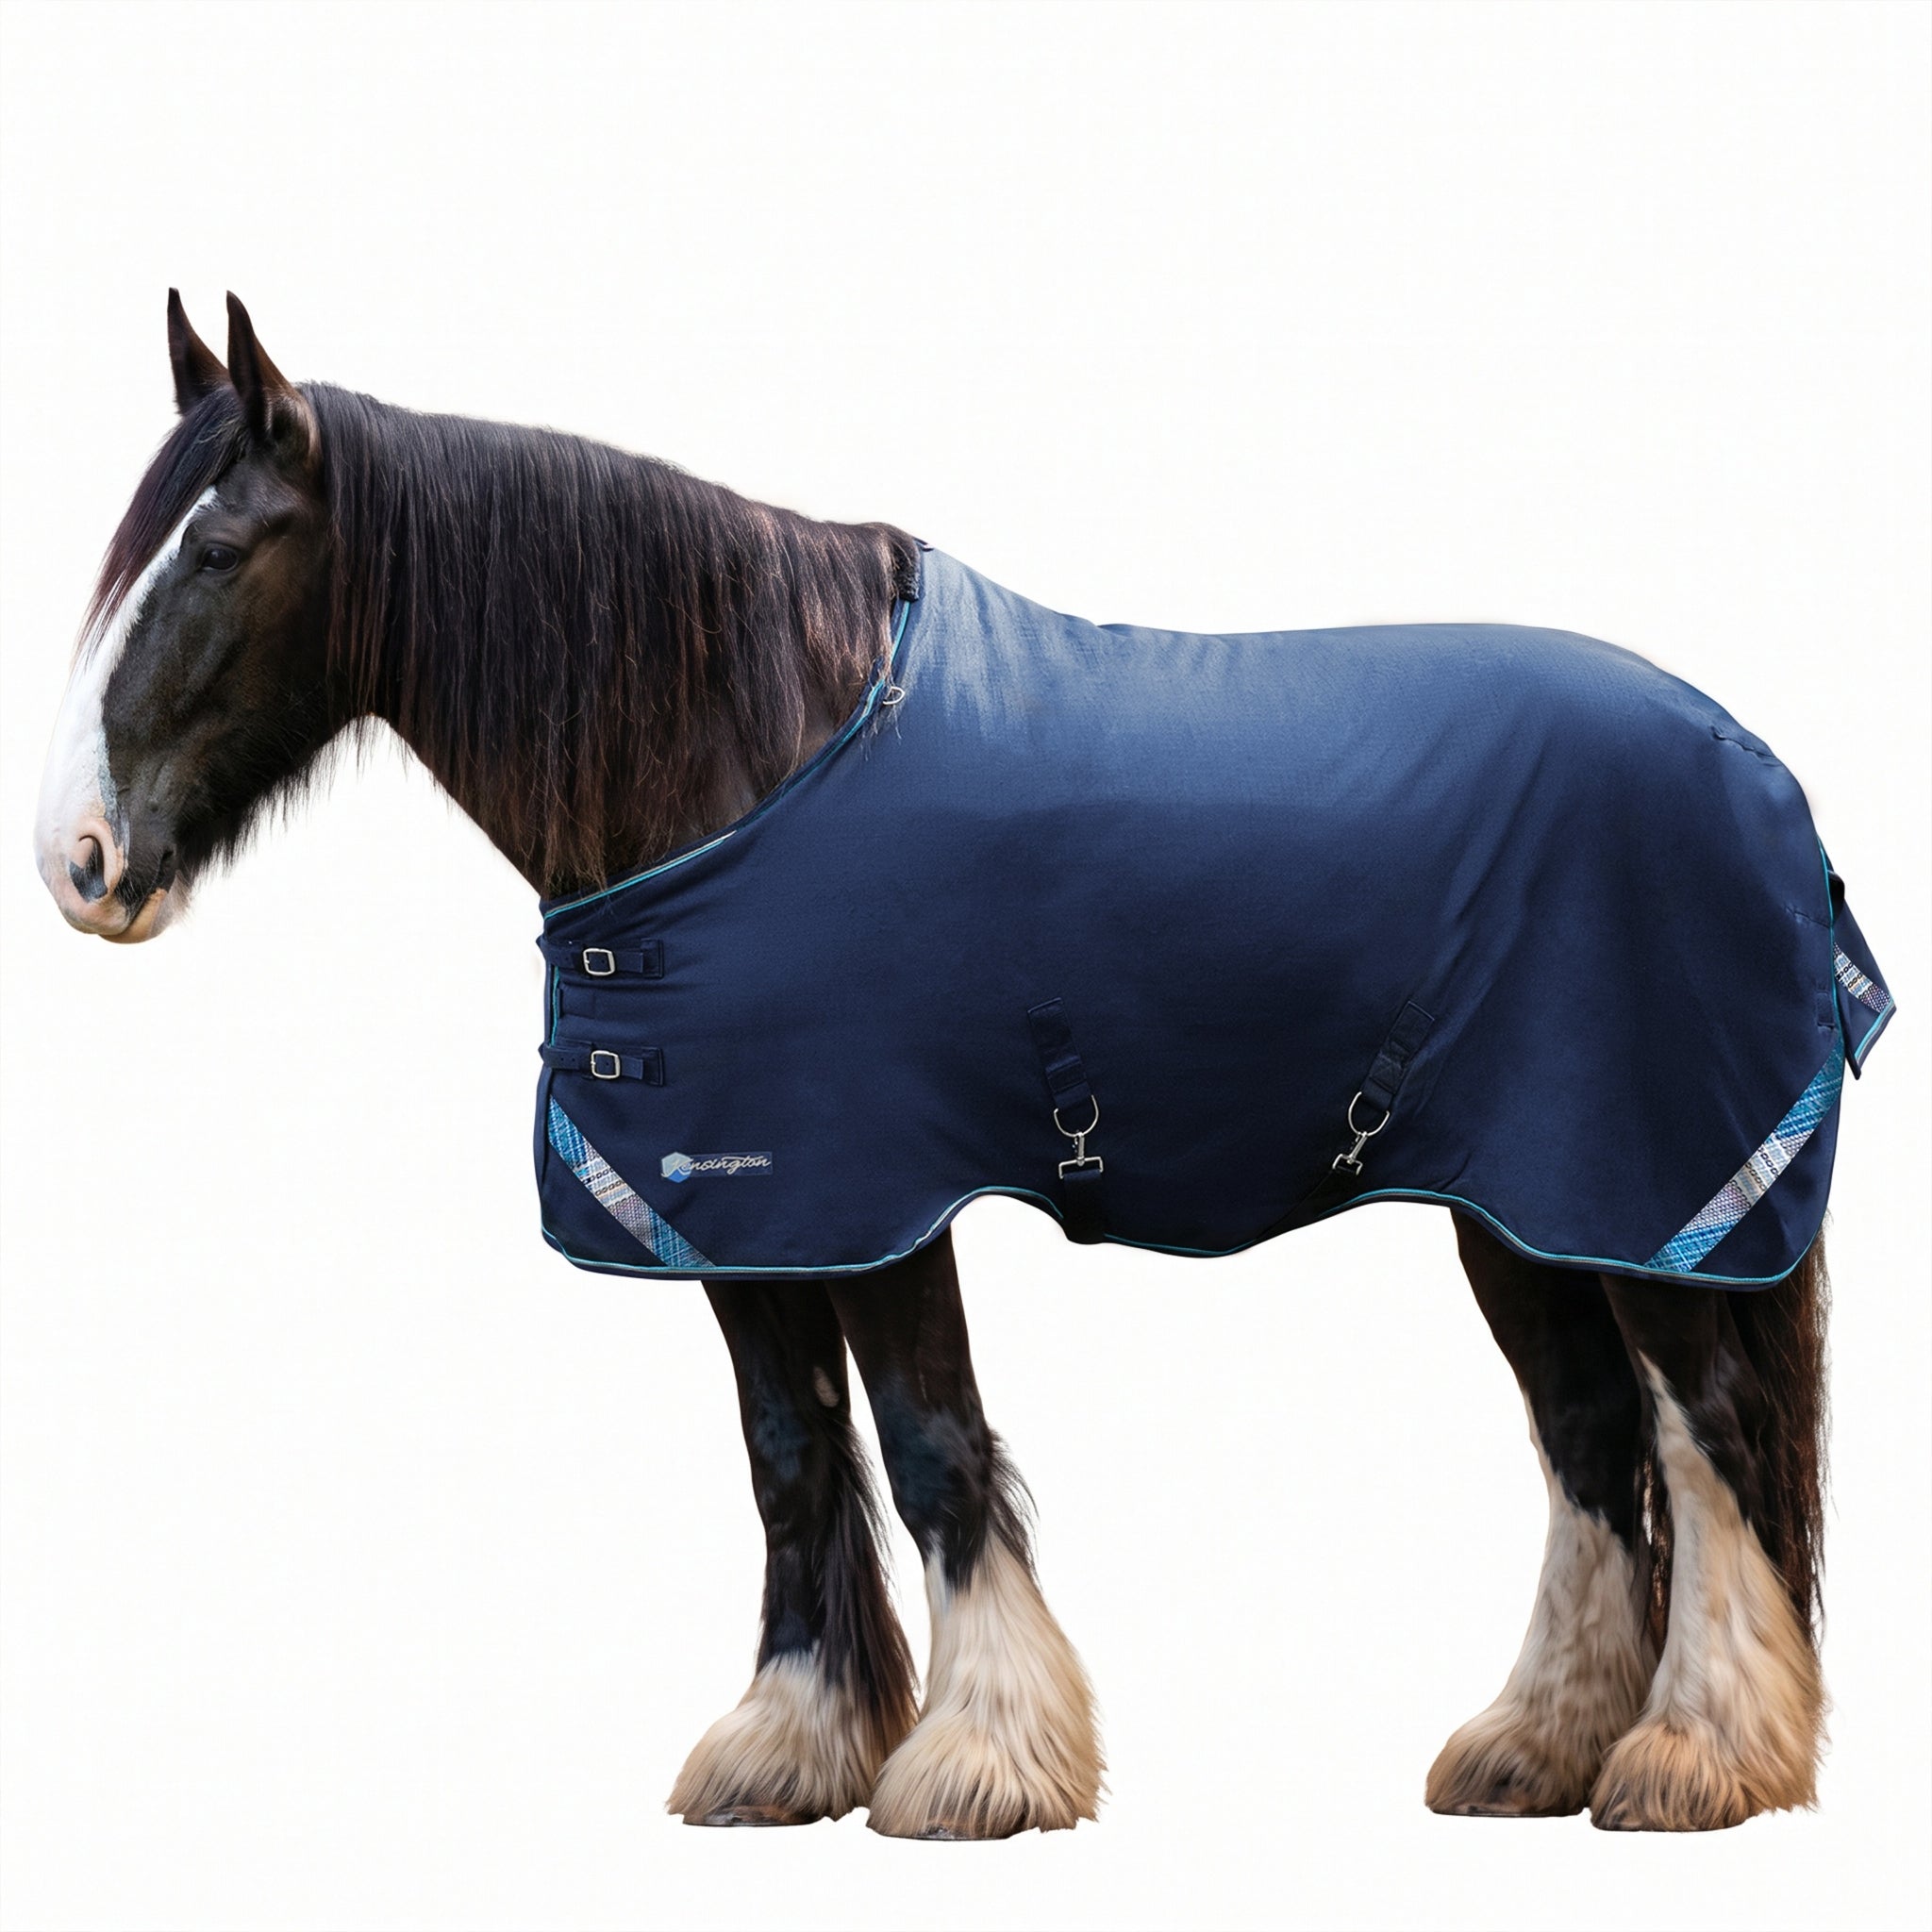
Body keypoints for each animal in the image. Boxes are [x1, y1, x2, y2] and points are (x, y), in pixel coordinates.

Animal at [34, 292, 1877, 1838]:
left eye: (218, 550)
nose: (79, 863)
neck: (750, 743)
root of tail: (1760, 772)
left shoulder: (880, 1198)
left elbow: (928, 1439)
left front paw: (978, 1761)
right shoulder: (747, 1212)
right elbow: (789, 1455)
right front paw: (789, 1747)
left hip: (1645, 1199)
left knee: (1702, 1430)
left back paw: (1695, 1754)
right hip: (1520, 1209)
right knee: (1591, 1439)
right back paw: (1539, 1746)